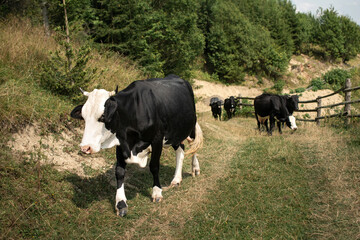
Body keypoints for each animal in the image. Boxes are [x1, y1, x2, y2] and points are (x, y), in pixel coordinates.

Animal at [70, 74, 202, 216]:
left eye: (103, 116)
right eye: (83, 116)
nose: (85, 147)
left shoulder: (157, 139)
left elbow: (154, 166)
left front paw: (157, 192)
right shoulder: (121, 142)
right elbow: (119, 171)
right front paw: (121, 203)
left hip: (190, 128)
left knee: (194, 147)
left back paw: (195, 168)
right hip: (174, 134)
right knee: (181, 149)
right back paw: (176, 179)